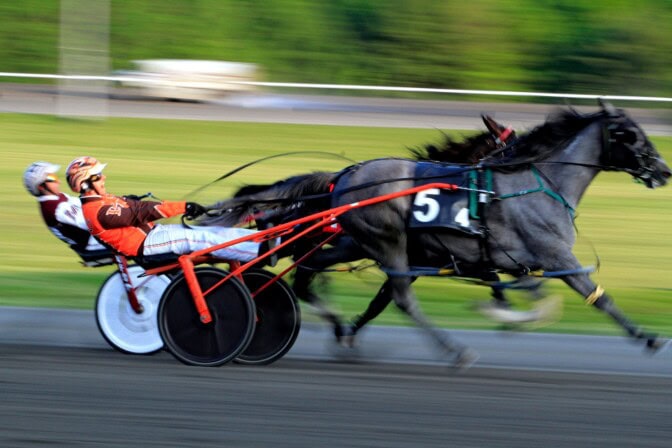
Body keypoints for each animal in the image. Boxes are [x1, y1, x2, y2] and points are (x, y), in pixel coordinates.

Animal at [208, 101, 670, 368]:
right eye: (630, 135)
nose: (663, 170)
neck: (538, 182)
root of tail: (345, 176)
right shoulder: (553, 256)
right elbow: (595, 297)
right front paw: (648, 338)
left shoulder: (499, 259)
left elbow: (523, 291)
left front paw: (508, 316)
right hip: (386, 241)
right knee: (399, 298)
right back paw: (454, 350)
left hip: (361, 243)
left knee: (312, 275)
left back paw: (339, 328)